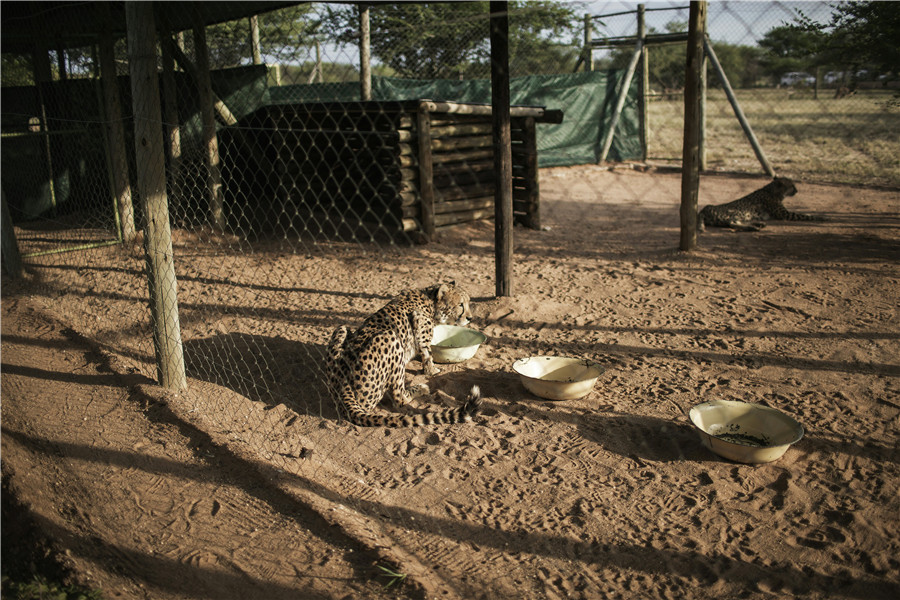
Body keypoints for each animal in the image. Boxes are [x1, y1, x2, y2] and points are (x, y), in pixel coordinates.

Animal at [326, 282, 482, 426]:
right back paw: (420, 389)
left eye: (468, 302)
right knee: (399, 397)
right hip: (391, 338)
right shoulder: (420, 327)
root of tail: (341, 384)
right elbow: (427, 355)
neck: (430, 300)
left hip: (341, 328)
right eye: (460, 304)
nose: (470, 318)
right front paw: (433, 370)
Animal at [700, 176, 828, 232]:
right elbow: (804, 215)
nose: (797, 190)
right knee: (731, 223)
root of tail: (703, 209)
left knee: (733, 223)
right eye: (792, 186)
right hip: (735, 211)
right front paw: (822, 218)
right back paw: (754, 227)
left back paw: (758, 224)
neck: (772, 190)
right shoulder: (784, 214)